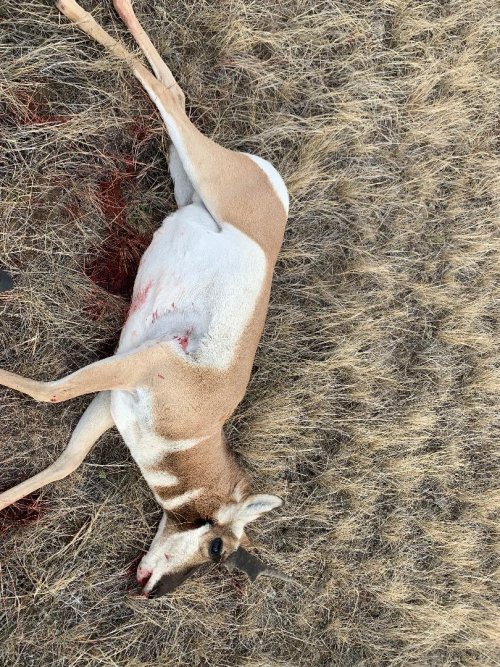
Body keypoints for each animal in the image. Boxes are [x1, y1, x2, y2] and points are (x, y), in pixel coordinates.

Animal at [0, 0, 291, 597]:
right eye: (218, 548)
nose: (151, 589)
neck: (194, 432)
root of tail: (275, 189)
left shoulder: (112, 402)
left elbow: (66, 461)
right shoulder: (143, 364)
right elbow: (50, 393)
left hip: (186, 183)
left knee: (170, 91)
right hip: (201, 168)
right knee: (157, 89)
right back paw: (78, 9)